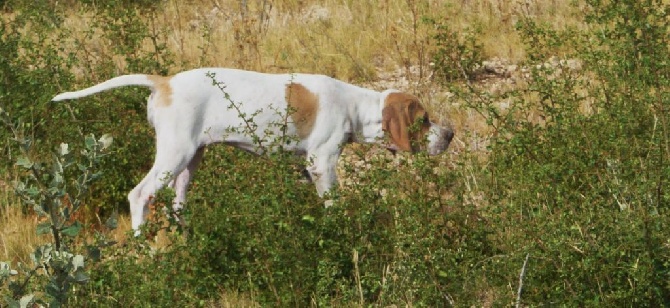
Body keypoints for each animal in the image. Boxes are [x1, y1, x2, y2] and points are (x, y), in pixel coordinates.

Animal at [52, 67, 454, 231]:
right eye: (424, 120)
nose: (449, 135)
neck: (355, 105)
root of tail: (164, 82)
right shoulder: (322, 163)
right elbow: (335, 207)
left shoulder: (305, 170)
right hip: (174, 154)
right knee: (140, 195)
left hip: (190, 161)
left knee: (177, 206)